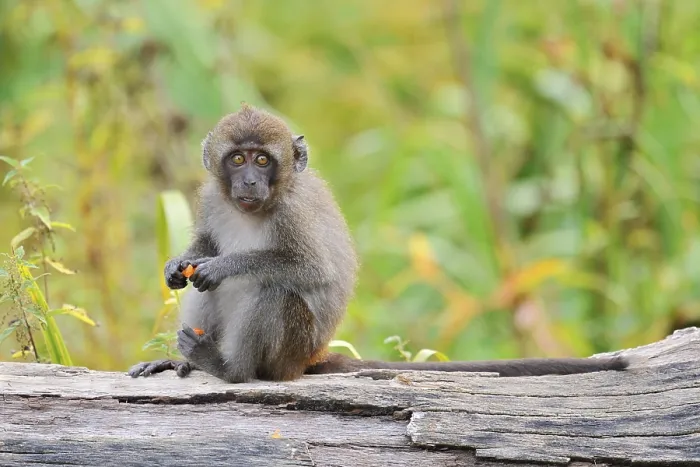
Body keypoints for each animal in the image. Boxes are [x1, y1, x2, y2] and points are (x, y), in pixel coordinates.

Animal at [128, 104, 628, 383]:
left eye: (263, 161)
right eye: (237, 159)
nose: (249, 181)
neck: (254, 207)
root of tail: (310, 358)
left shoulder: (293, 213)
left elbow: (310, 270)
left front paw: (225, 266)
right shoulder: (212, 197)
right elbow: (203, 247)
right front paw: (179, 263)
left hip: (291, 350)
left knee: (274, 290)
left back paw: (230, 370)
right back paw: (187, 363)